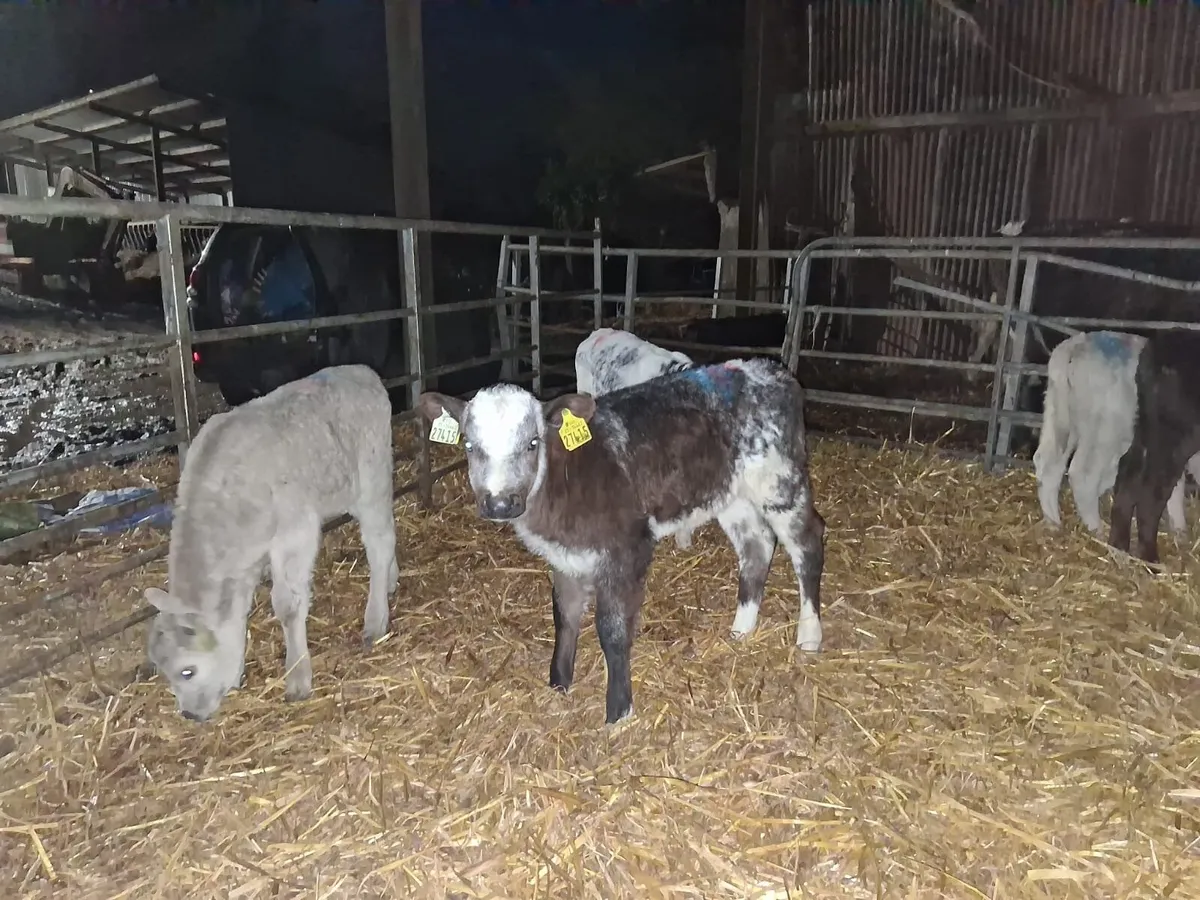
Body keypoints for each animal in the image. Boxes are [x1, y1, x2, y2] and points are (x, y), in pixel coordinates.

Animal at [145, 365, 399, 723]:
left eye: (187, 671)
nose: (190, 715)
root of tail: (362, 372)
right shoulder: (242, 561)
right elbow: (237, 611)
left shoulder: (294, 533)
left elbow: (288, 607)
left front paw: (297, 677)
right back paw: (391, 581)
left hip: (371, 477)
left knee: (380, 540)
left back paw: (375, 618)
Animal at [417, 357, 826, 726]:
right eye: (470, 446)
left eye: (533, 443)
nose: (501, 502)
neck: (567, 476)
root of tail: (771, 370)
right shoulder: (565, 555)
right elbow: (564, 616)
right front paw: (559, 683)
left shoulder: (627, 547)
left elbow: (611, 630)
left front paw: (619, 710)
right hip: (731, 494)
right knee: (757, 545)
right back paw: (742, 628)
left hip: (780, 480)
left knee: (808, 540)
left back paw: (809, 634)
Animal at [1035, 331, 1200, 536]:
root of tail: (1076, 345)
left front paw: (1179, 529)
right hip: (1104, 432)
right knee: (1083, 474)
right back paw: (1096, 529)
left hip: (1059, 416)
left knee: (1048, 464)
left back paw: (1053, 522)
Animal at [1110, 331, 1200, 564]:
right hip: (1173, 435)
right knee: (1151, 493)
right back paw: (1150, 557)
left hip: (1146, 428)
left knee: (1128, 476)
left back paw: (1119, 546)